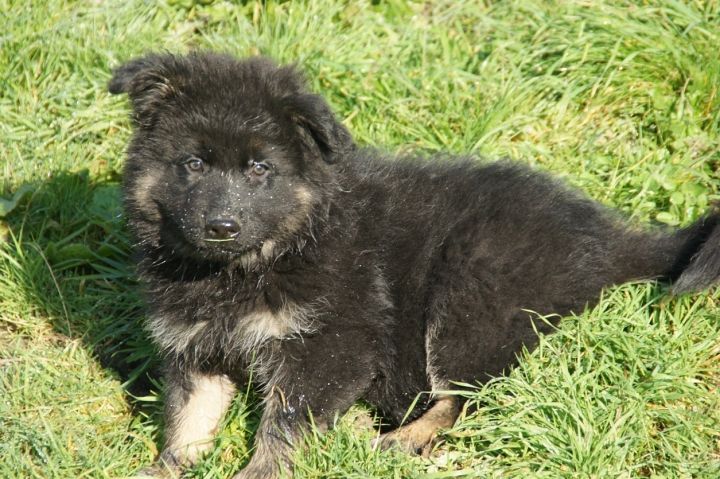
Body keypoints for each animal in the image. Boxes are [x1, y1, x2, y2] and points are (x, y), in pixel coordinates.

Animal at [109, 52, 720, 478]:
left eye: (260, 169)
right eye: (193, 163)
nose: (222, 227)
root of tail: (608, 237)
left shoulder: (330, 345)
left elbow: (284, 422)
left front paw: (262, 470)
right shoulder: (196, 349)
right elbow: (187, 423)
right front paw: (164, 468)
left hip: (468, 300)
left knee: (466, 397)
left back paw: (398, 440)